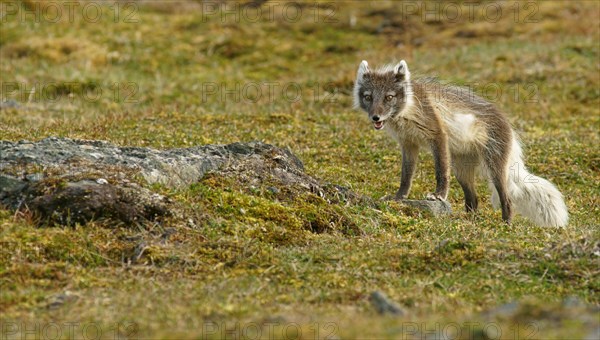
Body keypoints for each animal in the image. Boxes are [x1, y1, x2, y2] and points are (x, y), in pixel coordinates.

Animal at [354, 59, 568, 227]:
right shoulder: (408, 144)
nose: (375, 117)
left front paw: (438, 195)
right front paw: (399, 197)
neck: (407, 110)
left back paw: (505, 225)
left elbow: (440, 171)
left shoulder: (437, 135)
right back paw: (468, 222)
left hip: (494, 167)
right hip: (461, 170)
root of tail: (508, 123)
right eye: (368, 97)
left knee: (506, 199)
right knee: (473, 200)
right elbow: (406, 177)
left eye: (389, 97)